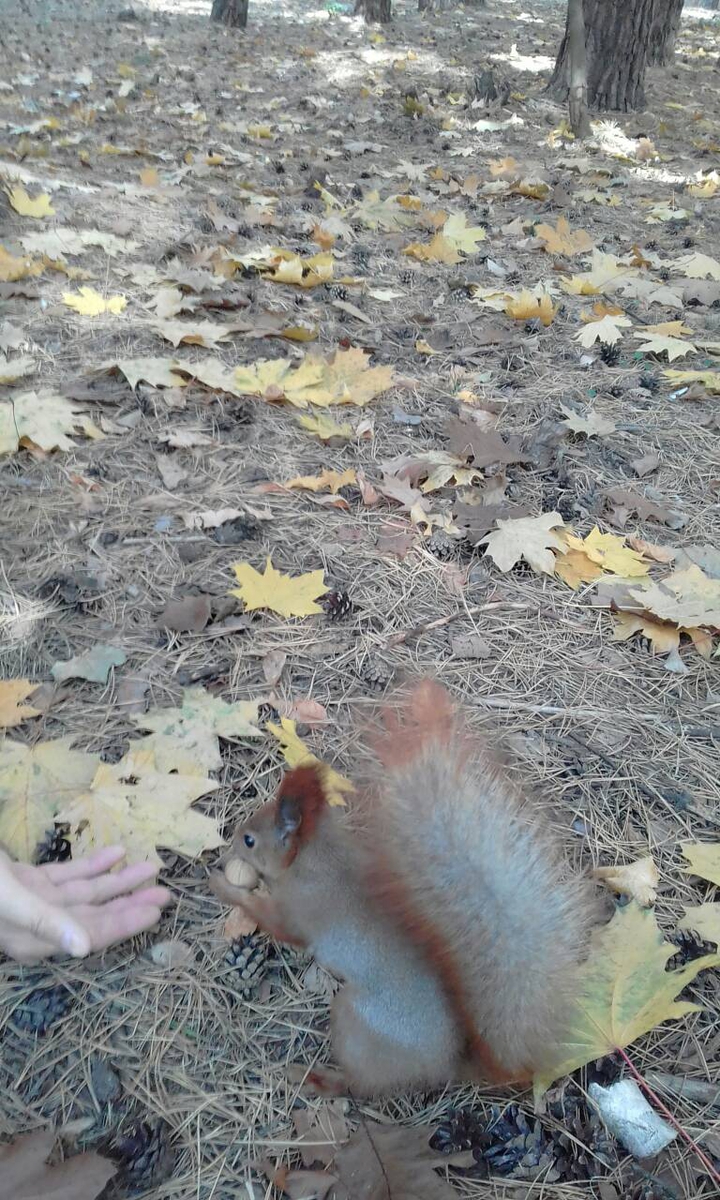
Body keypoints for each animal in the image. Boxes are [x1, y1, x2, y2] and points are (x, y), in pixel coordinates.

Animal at [211, 680, 597, 1094]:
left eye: (250, 840)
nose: (230, 844)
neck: (317, 855)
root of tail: (445, 1067)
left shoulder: (300, 909)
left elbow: (275, 921)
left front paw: (225, 888)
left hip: (355, 1021)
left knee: (359, 1085)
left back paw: (315, 1076)